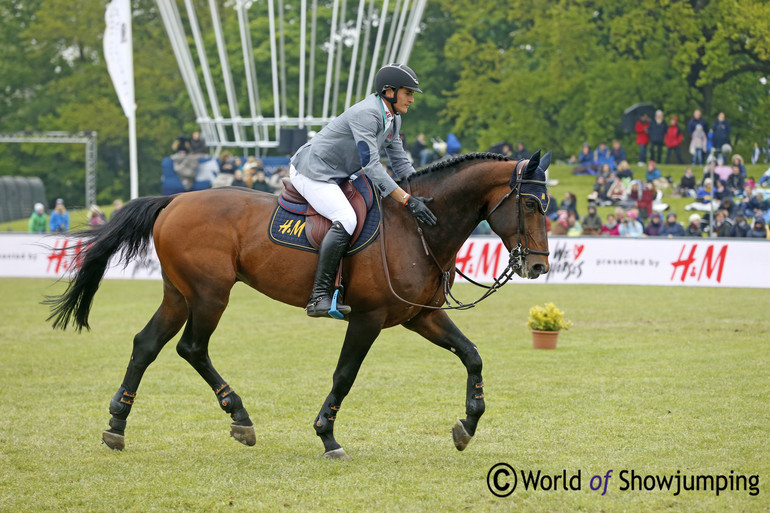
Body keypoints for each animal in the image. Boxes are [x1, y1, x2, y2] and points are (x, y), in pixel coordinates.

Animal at [46, 150, 544, 458]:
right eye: (532, 204)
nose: (538, 266)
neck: (418, 228)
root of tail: (175, 199)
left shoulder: (420, 316)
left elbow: (472, 356)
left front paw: (468, 424)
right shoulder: (368, 318)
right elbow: (345, 375)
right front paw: (328, 436)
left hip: (179, 295)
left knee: (146, 345)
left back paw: (117, 425)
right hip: (209, 295)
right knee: (191, 348)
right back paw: (238, 415)